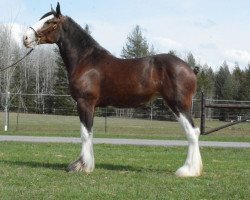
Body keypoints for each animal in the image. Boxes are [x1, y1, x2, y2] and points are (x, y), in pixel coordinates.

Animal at [23, 2, 202, 177]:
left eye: (50, 22)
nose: (25, 38)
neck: (86, 60)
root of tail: (190, 68)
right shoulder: (91, 106)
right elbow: (90, 133)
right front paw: (86, 164)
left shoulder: (84, 103)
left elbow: (85, 134)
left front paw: (82, 166)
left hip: (178, 104)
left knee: (192, 132)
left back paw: (187, 170)